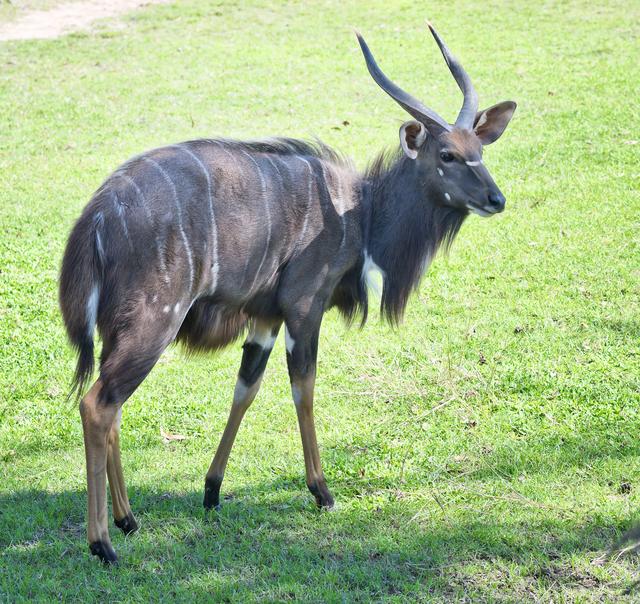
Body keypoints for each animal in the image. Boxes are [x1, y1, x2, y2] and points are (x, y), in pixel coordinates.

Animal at [60, 23, 516, 560]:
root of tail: (97, 216)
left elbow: (246, 388)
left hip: (120, 332)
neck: (359, 212)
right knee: (98, 404)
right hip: (153, 324)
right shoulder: (304, 308)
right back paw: (103, 543)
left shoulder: (265, 318)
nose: (496, 199)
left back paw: (128, 520)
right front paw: (321, 491)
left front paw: (212, 490)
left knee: (111, 406)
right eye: (447, 155)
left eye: (480, 151)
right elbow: (304, 388)